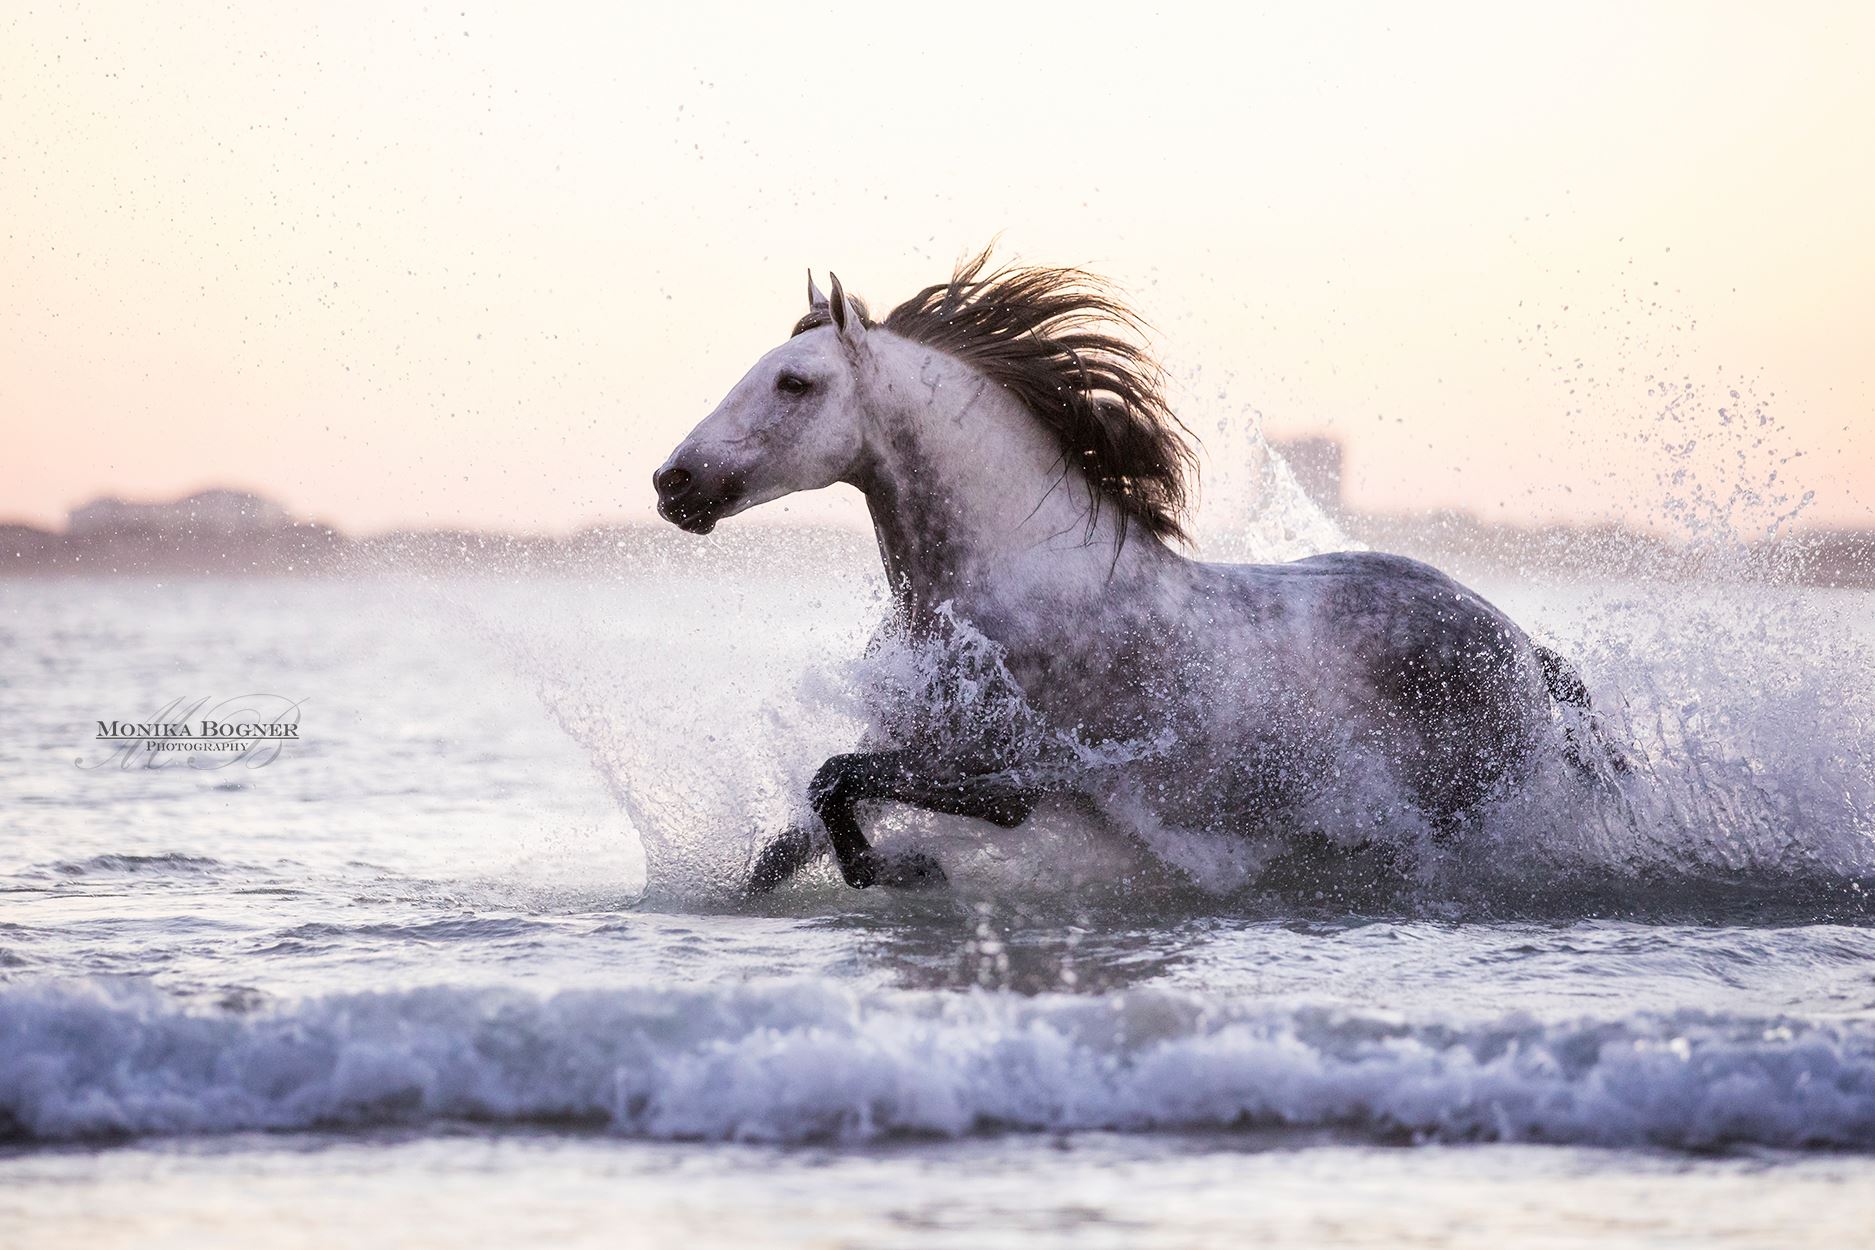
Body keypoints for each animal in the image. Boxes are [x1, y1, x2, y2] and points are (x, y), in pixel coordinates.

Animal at [656, 251, 1612, 888]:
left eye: (795, 384)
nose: (673, 483)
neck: (1018, 585)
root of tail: (1520, 647)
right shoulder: (926, 742)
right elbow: (795, 830)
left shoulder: (1021, 772)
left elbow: (839, 777)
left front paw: (899, 872)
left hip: (1463, 813)